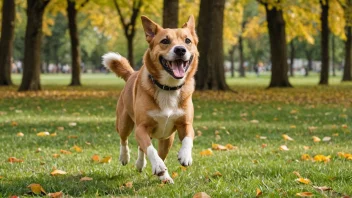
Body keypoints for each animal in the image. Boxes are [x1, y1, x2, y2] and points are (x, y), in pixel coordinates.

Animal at [102, 14, 198, 183]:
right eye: (165, 41)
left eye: (187, 40)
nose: (180, 49)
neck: (167, 87)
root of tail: (131, 74)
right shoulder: (141, 128)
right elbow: (150, 149)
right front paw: (158, 166)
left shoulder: (185, 123)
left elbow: (187, 138)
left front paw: (185, 156)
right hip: (124, 122)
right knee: (124, 139)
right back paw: (126, 157)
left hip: (167, 139)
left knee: (155, 152)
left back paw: (158, 173)